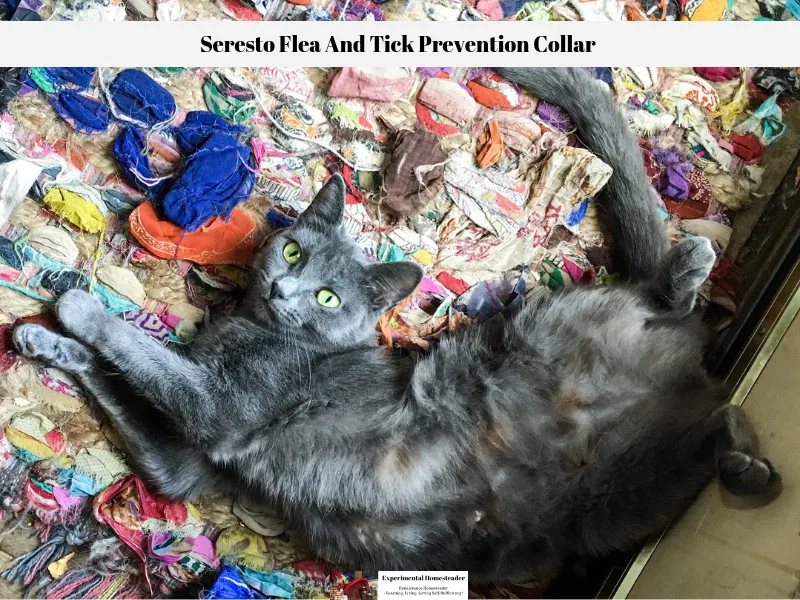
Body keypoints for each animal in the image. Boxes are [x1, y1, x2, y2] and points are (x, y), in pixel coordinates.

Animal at [12, 69, 780, 580]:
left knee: (666, 301)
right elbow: (123, 389)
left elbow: (142, 354)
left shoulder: (221, 405)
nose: (286, 286)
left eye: (327, 297)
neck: (251, 328)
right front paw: (44, 340)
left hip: (546, 334)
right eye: (294, 250)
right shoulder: (181, 466)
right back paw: (746, 467)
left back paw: (691, 266)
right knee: (714, 429)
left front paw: (77, 310)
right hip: (618, 504)